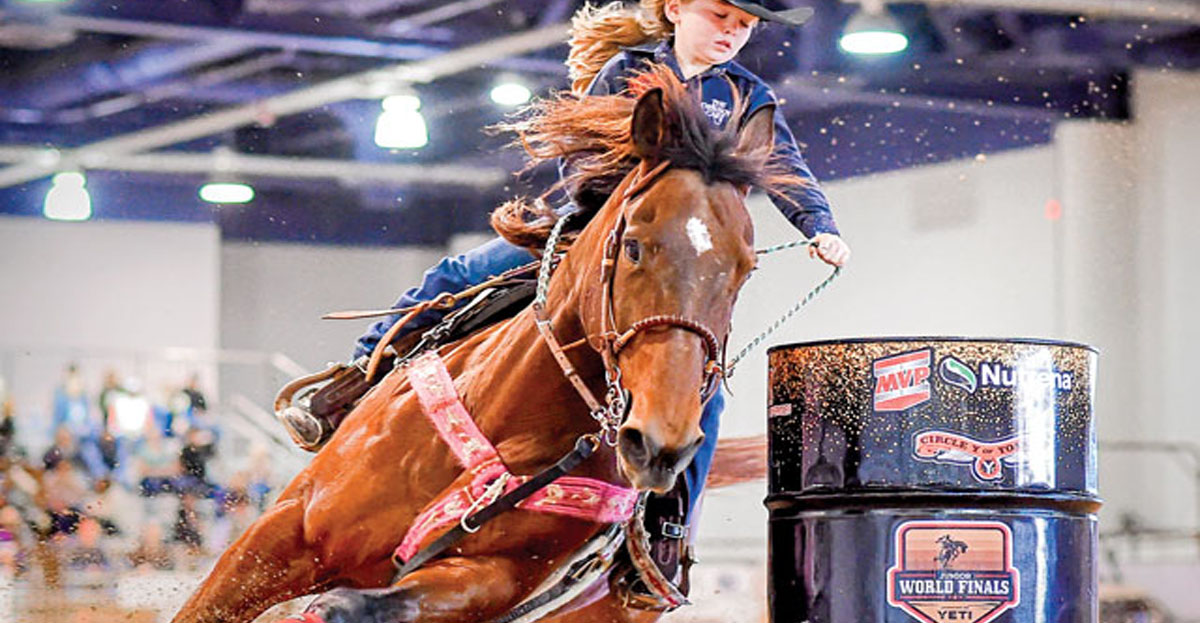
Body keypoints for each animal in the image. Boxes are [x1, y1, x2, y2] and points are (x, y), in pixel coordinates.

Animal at [169, 64, 801, 623]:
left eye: (744, 270)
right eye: (635, 247)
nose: (660, 444)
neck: (507, 416)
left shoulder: (482, 582)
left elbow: (356, 606)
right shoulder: (285, 531)